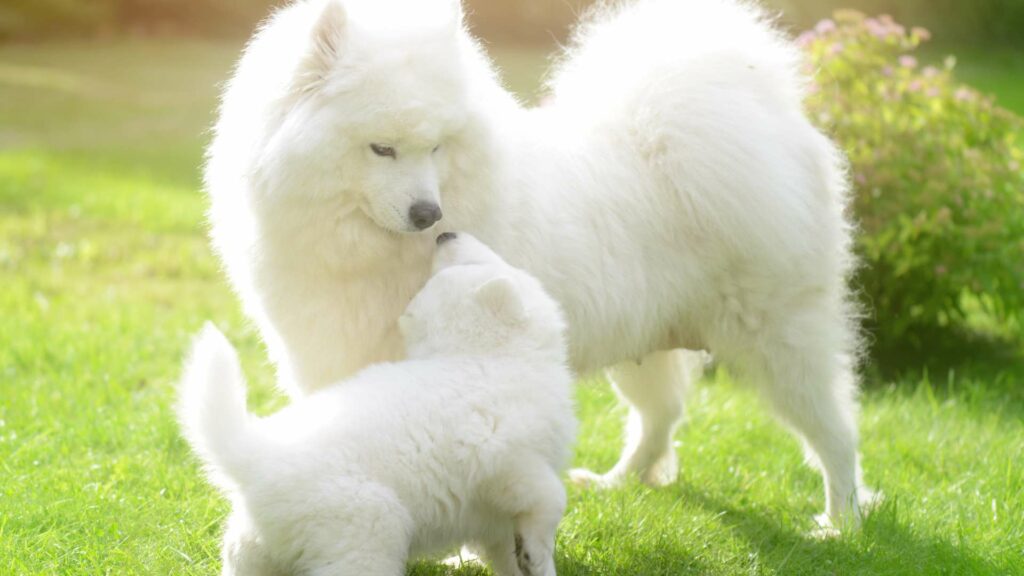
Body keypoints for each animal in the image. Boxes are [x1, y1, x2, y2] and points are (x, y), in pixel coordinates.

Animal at [178, 233, 577, 573]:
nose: (443, 234)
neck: (486, 357)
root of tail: (253, 456)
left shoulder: (495, 512)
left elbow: (507, 548)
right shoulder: (509, 462)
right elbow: (551, 498)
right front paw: (536, 555)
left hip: (254, 545)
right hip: (368, 529)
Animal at [205, 0, 872, 528]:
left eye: (436, 147)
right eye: (382, 148)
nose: (429, 214)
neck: (362, 248)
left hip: (779, 338)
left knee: (834, 431)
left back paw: (841, 523)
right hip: (644, 340)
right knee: (660, 417)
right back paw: (616, 482)